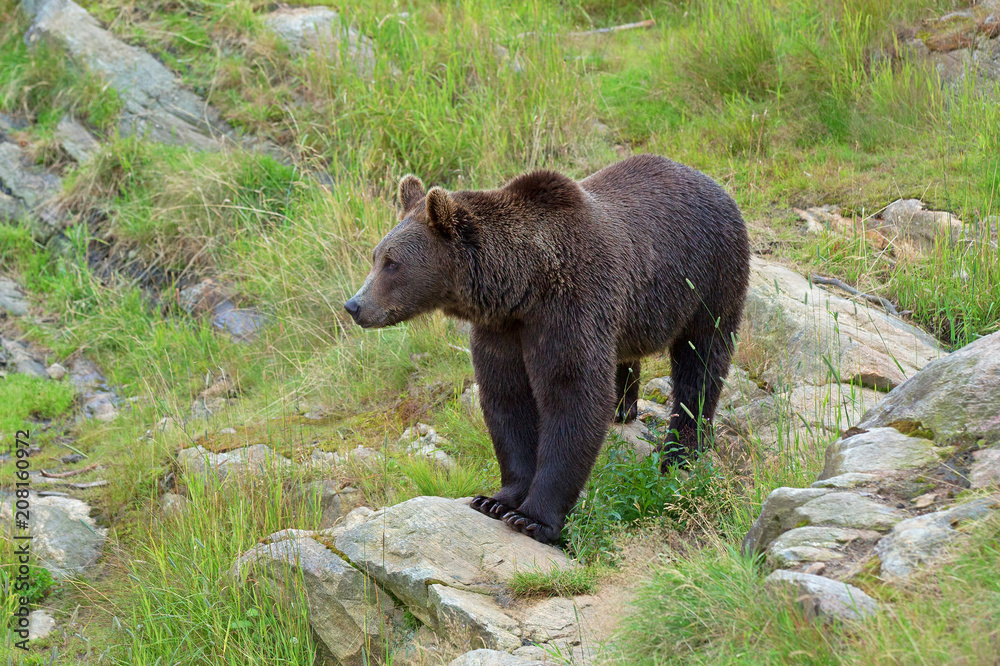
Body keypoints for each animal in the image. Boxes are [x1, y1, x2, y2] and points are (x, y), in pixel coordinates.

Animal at [348, 154, 748, 540]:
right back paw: (623, 408)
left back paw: (681, 452)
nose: (354, 305)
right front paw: (496, 499)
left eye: (392, 263)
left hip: (709, 275)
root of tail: (713, 183)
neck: (523, 284)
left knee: (701, 361)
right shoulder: (502, 328)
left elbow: (572, 394)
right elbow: (507, 399)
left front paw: (533, 518)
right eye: (375, 256)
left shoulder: (570, 305)